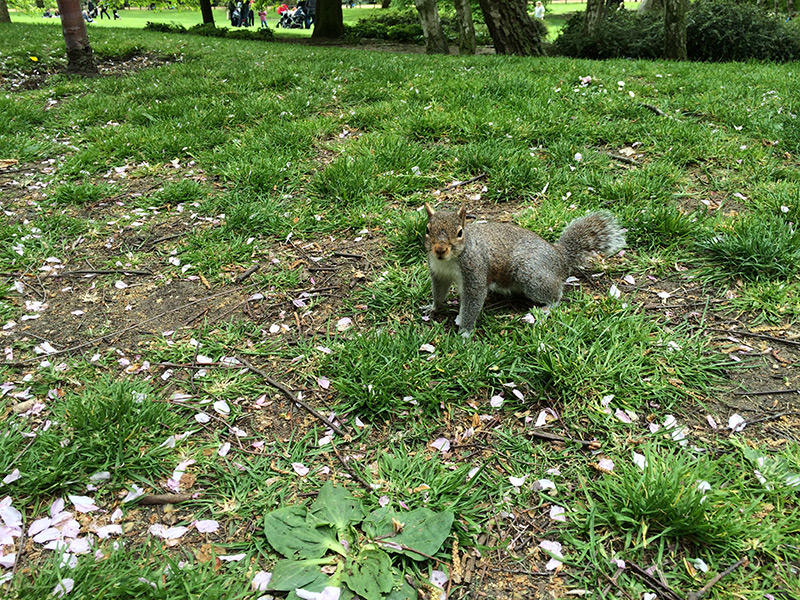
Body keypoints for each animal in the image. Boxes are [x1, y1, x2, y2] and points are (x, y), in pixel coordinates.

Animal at [423, 203, 625, 337]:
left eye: (459, 233)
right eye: (427, 229)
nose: (440, 250)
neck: (449, 261)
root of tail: (560, 256)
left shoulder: (475, 272)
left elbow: (473, 301)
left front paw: (464, 331)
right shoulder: (439, 274)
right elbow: (439, 293)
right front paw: (432, 307)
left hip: (529, 272)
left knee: (556, 296)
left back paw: (545, 309)